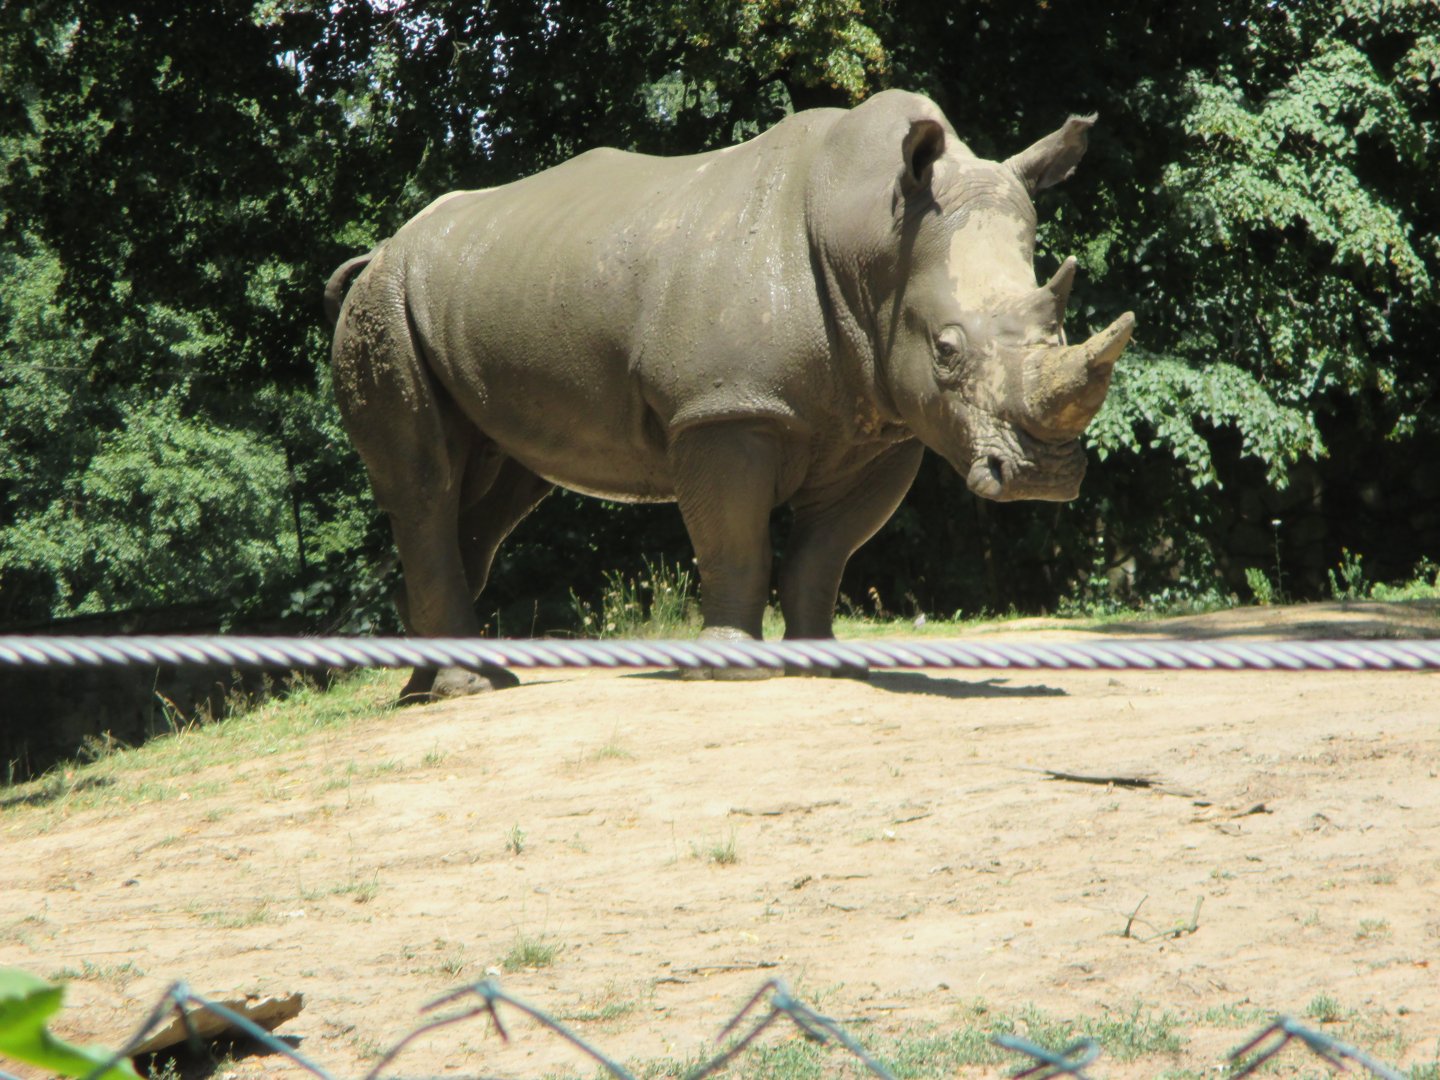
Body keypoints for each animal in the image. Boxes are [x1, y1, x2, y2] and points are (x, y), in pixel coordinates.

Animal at [326, 89, 1134, 700]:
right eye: (946, 349)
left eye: (1059, 328)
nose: (1042, 476)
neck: (871, 239)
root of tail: (381, 249)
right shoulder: (726, 410)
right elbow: (734, 538)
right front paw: (729, 671)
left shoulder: (882, 424)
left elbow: (825, 553)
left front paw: (827, 665)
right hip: (385, 305)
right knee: (426, 484)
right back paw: (462, 689)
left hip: (478, 287)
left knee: (492, 500)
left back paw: (432, 688)